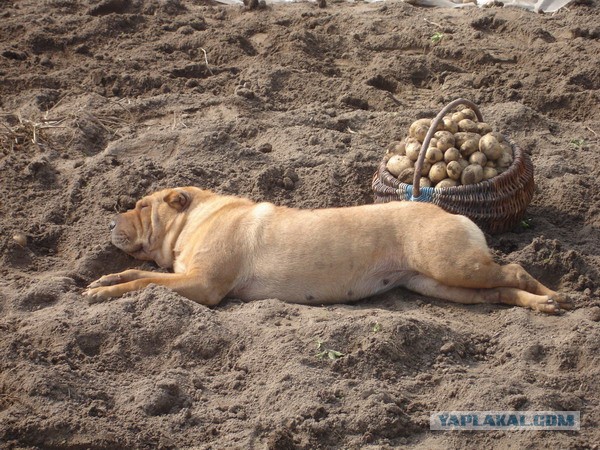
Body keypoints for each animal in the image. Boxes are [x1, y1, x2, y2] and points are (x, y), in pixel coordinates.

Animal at [83, 186, 572, 312]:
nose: (108, 221)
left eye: (142, 207)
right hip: (438, 283)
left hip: (453, 264)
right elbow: (140, 275)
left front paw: (105, 291)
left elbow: (143, 281)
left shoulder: (201, 284)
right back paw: (540, 305)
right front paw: (106, 278)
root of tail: (452, 212)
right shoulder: (186, 276)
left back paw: (555, 296)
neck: (194, 220)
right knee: (499, 290)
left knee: (515, 270)